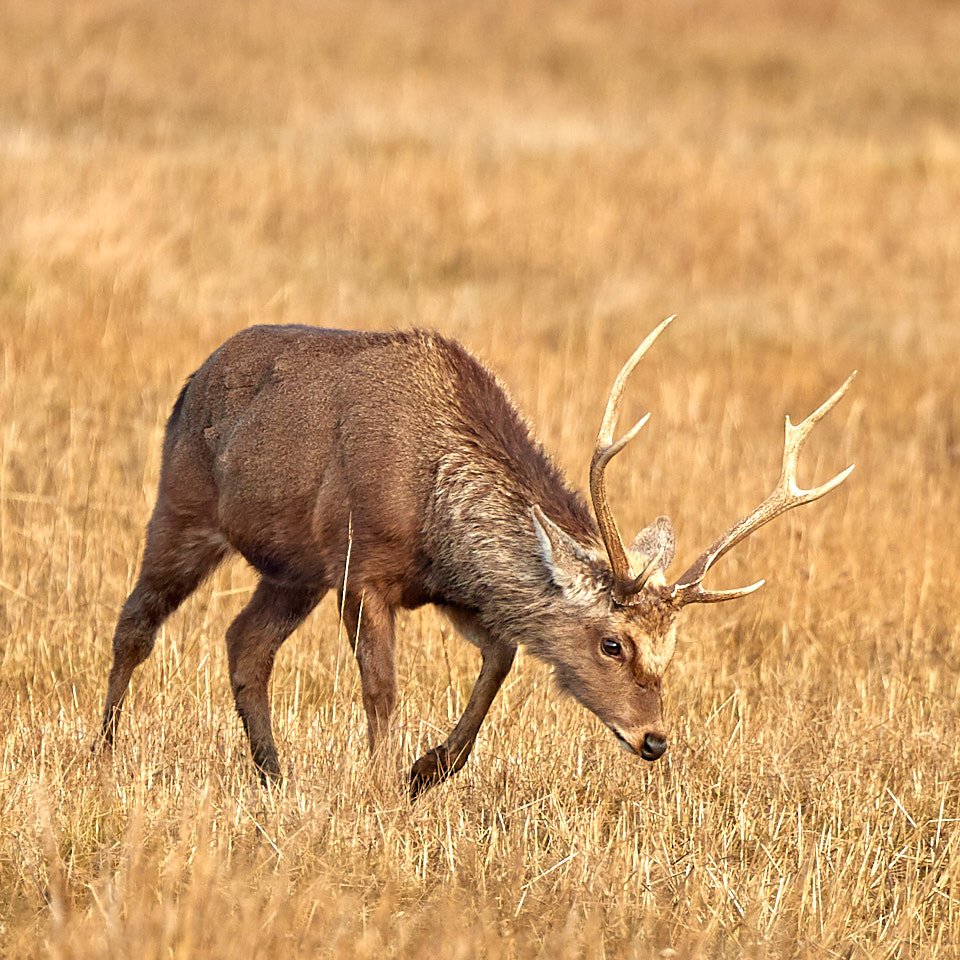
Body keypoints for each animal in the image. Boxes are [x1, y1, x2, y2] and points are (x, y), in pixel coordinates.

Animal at [96, 317, 855, 797]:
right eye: (612, 643)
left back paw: (274, 777)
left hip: (292, 571)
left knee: (244, 644)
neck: (436, 513)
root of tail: (195, 376)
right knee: (135, 624)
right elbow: (382, 686)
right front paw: (378, 786)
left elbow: (503, 657)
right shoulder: (360, 565)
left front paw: (426, 770)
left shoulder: (457, 588)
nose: (654, 740)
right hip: (184, 504)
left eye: (671, 650)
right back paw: (101, 755)